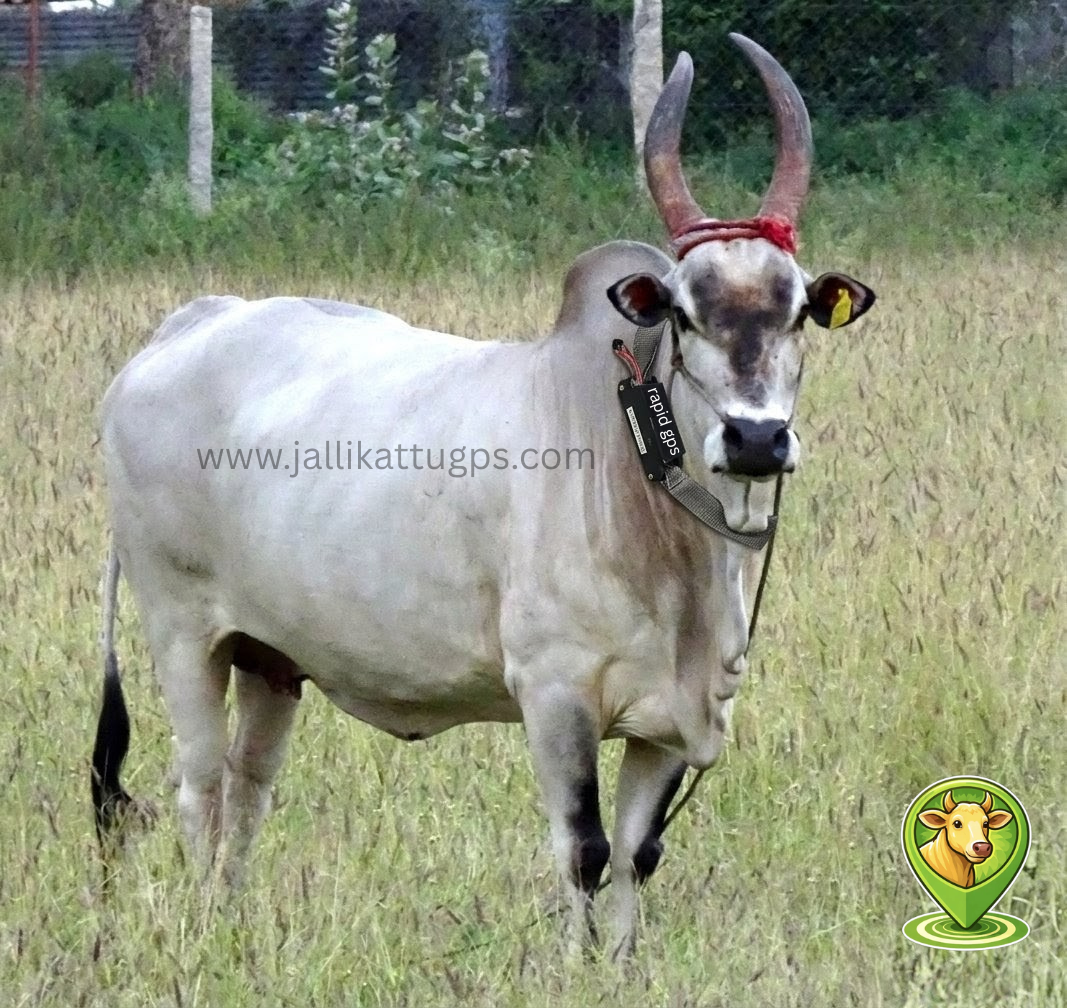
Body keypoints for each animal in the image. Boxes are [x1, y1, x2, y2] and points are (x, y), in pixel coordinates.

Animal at [91, 34, 875, 960]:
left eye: (798, 311)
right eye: (683, 314)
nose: (756, 439)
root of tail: (186, 324)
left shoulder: (670, 721)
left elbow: (636, 855)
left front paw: (620, 965)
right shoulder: (554, 694)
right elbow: (583, 849)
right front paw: (574, 967)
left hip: (269, 659)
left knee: (247, 792)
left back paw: (233, 920)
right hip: (181, 631)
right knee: (199, 787)